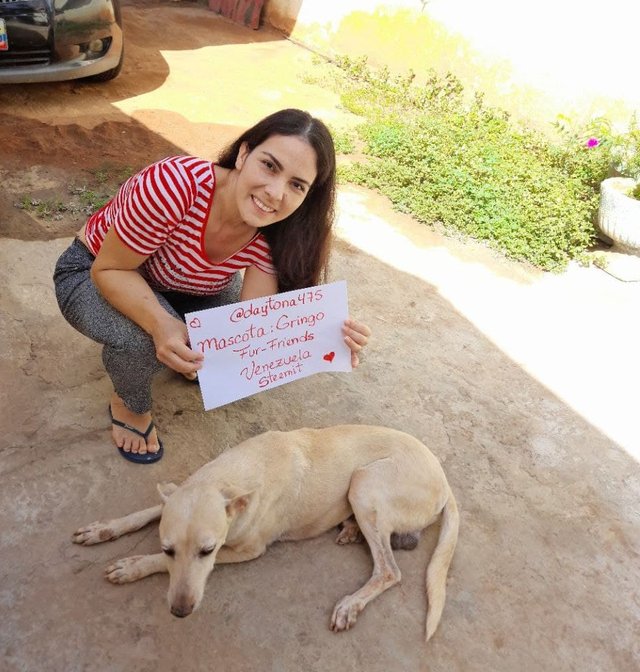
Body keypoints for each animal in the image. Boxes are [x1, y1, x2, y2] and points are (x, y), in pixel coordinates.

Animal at [72, 426, 458, 640]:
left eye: (207, 551)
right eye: (169, 549)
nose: (180, 612)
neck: (230, 477)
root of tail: (444, 479)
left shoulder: (247, 549)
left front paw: (132, 566)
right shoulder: (180, 497)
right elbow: (148, 512)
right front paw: (105, 528)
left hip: (363, 484)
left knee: (389, 570)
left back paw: (351, 603)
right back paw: (349, 529)